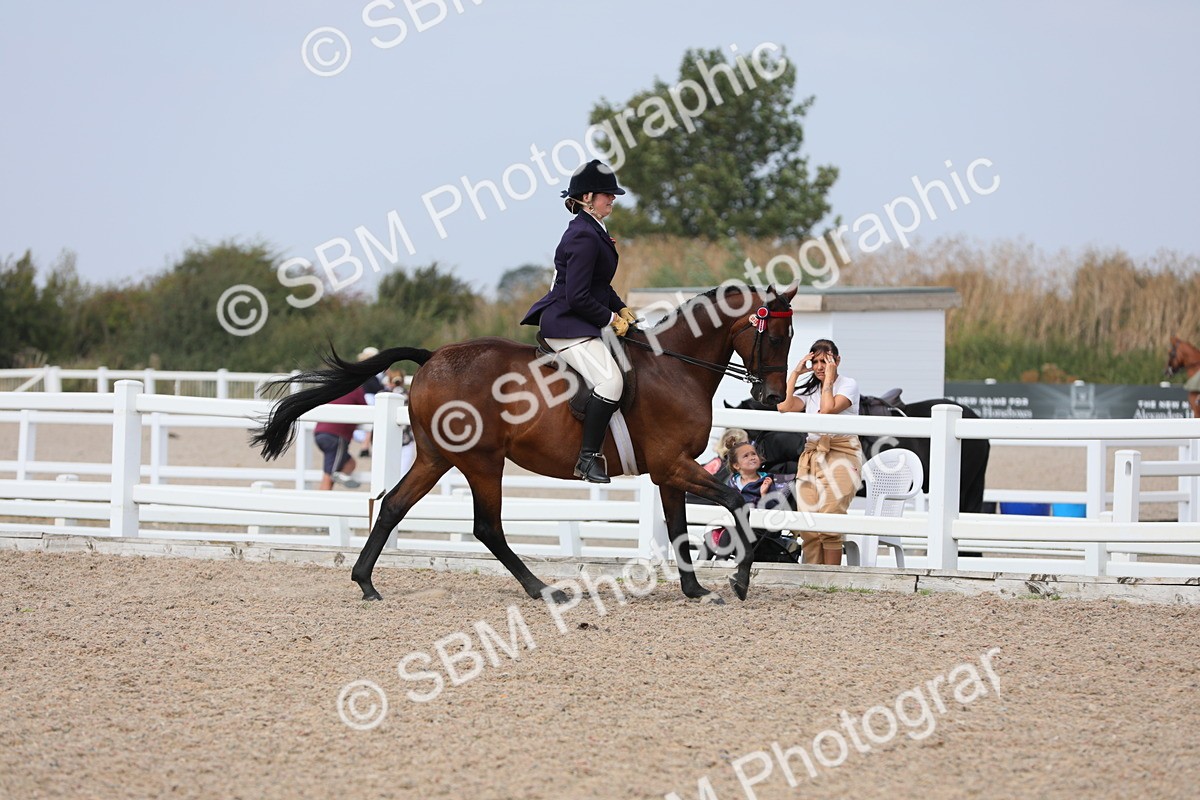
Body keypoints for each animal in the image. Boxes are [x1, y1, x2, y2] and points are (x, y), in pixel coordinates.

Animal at [252, 284, 798, 604]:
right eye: (777, 336)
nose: (772, 397)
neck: (676, 367)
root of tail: (433, 358)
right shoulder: (674, 466)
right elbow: (737, 503)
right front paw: (738, 581)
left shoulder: (669, 470)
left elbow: (680, 526)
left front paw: (695, 589)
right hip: (481, 461)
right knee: (486, 527)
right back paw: (543, 589)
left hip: (435, 457)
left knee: (392, 506)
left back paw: (366, 582)